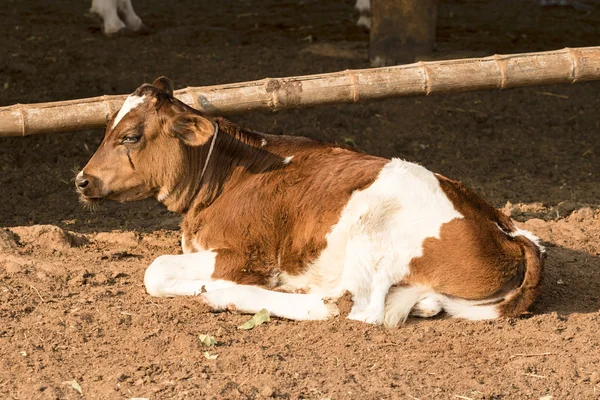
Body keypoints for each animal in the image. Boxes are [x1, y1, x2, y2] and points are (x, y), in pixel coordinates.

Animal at [76, 77, 544, 324]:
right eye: (107, 129)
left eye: (131, 136)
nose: (81, 180)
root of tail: (509, 231)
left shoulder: (246, 252)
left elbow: (154, 271)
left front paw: (212, 285)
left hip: (372, 233)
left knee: (344, 307)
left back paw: (227, 294)